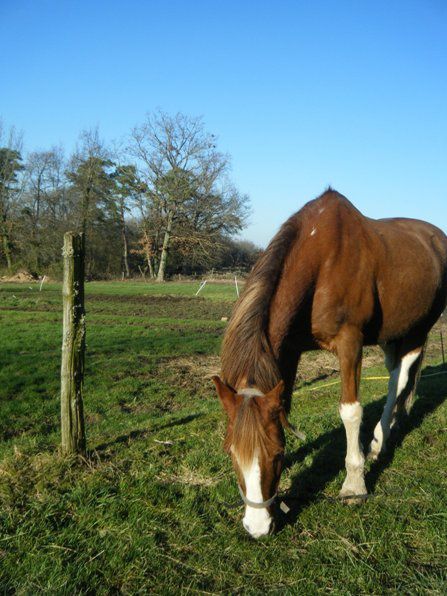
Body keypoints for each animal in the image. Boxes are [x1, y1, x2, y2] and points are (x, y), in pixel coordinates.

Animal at [213, 191, 447, 540]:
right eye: (230, 452)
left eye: (276, 453)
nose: (257, 527)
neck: (322, 260)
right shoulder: (291, 350)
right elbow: (285, 405)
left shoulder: (350, 344)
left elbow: (350, 412)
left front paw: (354, 485)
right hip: (391, 333)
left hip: (418, 330)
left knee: (400, 377)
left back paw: (379, 440)